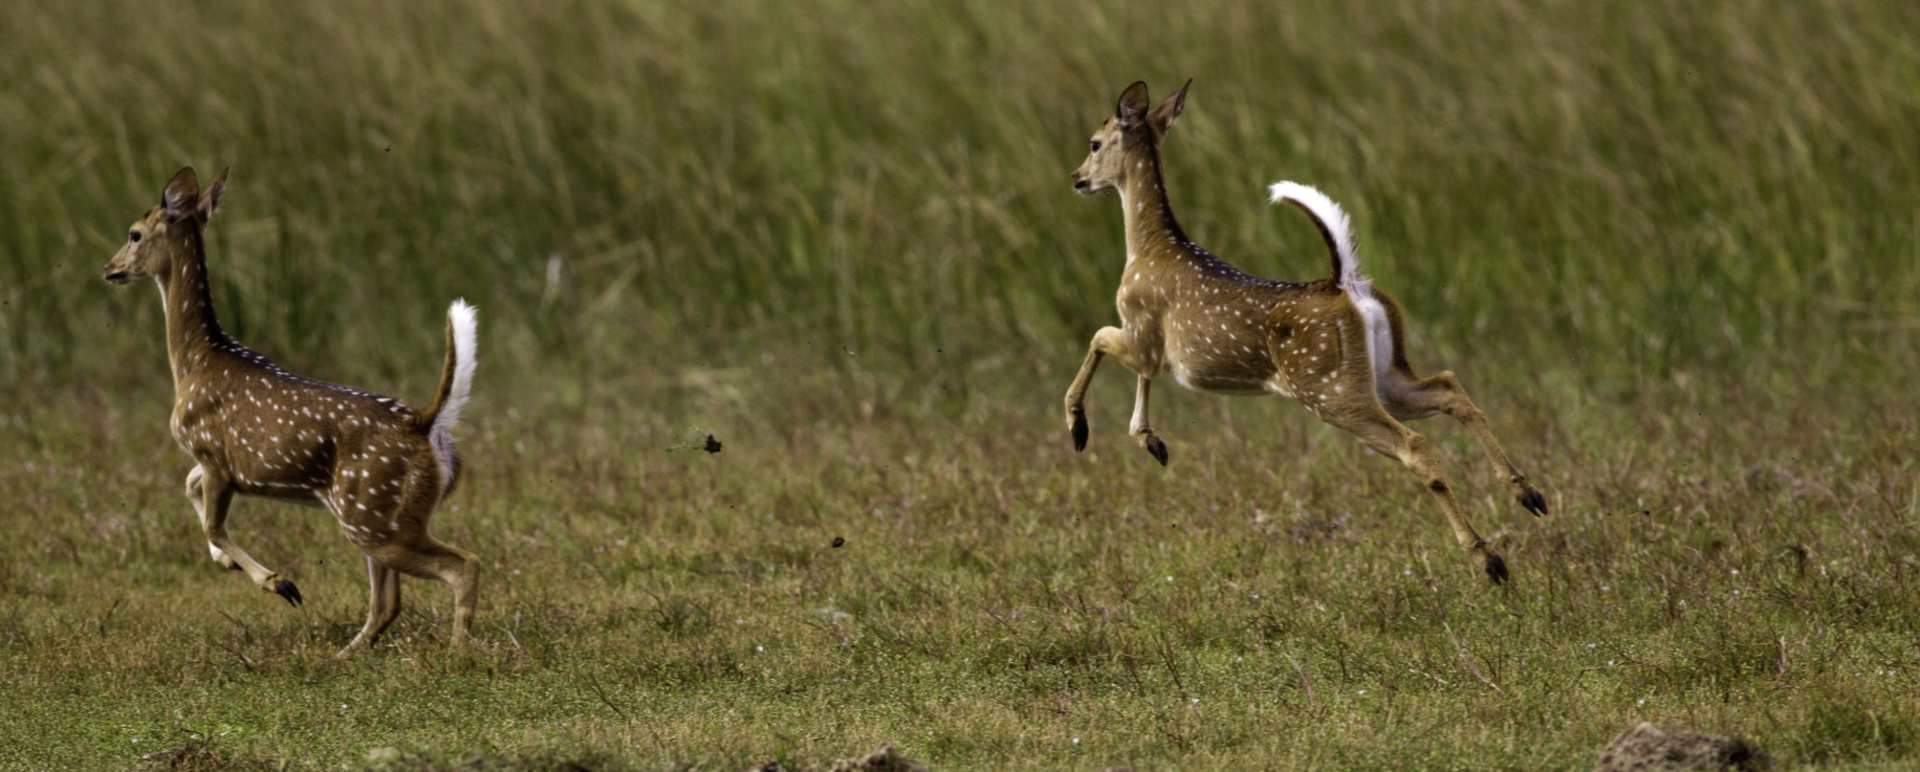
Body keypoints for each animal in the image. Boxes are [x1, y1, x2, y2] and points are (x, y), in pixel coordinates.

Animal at [102, 167, 482, 654]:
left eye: (134, 233)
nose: (109, 268)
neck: (195, 362)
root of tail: (425, 422)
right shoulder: (217, 464)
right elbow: (189, 490)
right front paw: (229, 563)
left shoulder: (214, 454)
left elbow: (212, 525)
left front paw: (280, 583)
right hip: (375, 516)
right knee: (387, 602)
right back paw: (343, 655)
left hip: (375, 516)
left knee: (463, 565)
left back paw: (456, 653)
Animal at [1065, 81, 1547, 583]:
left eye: (1094, 143)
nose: (1077, 177)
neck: (1147, 248)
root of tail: (1345, 284)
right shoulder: (1148, 345)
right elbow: (1131, 368)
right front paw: (1151, 441)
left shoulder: (1139, 329)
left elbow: (1098, 336)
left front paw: (1079, 427)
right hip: (1382, 375)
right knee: (1450, 388)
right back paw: (1529, 495)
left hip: (1329, 388)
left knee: (1416, 445)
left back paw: (1489, 558)